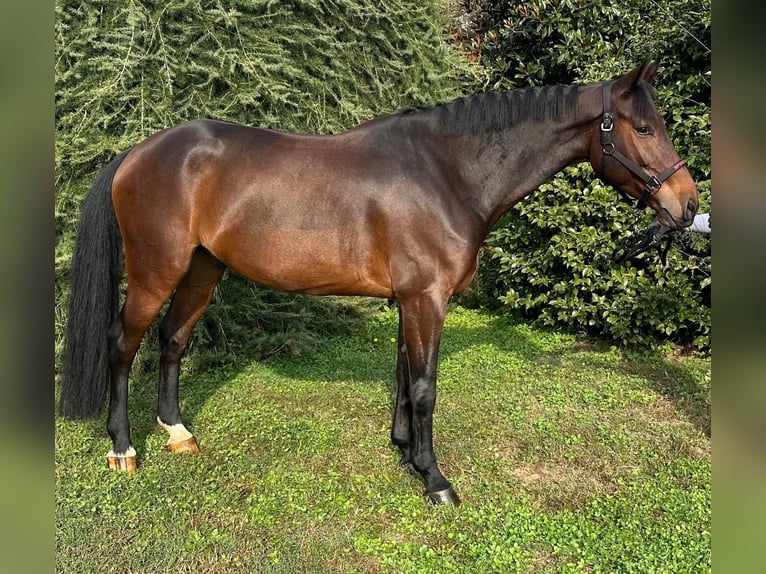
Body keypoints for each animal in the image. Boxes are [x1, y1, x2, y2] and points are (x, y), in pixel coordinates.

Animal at [59, 60, 698, 505]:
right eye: (644, 128)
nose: (687, 206)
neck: (445, 172)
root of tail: (137, 152)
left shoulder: (409, 300)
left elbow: (403, 379)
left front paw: (406, 454)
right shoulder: (426, 300)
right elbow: (425, 388)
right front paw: (436, 480)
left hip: (201, 269)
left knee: (172, 339)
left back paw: (177, 432)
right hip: (155, 271)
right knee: (123, 345)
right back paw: (124, 448)